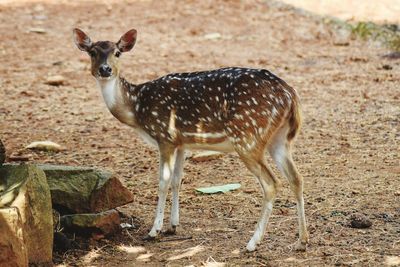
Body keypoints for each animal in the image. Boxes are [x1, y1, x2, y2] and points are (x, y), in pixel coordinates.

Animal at [72, 28, 310, 252]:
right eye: (92, 52)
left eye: (117, 53)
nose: (105, 69)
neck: (137, 109)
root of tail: (290, 95)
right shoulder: (182, 143)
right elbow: (177, 180)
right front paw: (173, 226)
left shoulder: (165, 136)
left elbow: (163, 182)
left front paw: (154, 230)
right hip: (279, 140)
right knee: (296, 178)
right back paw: (302, 241)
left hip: (247, 137)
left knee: (272, 183)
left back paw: (252, 243)